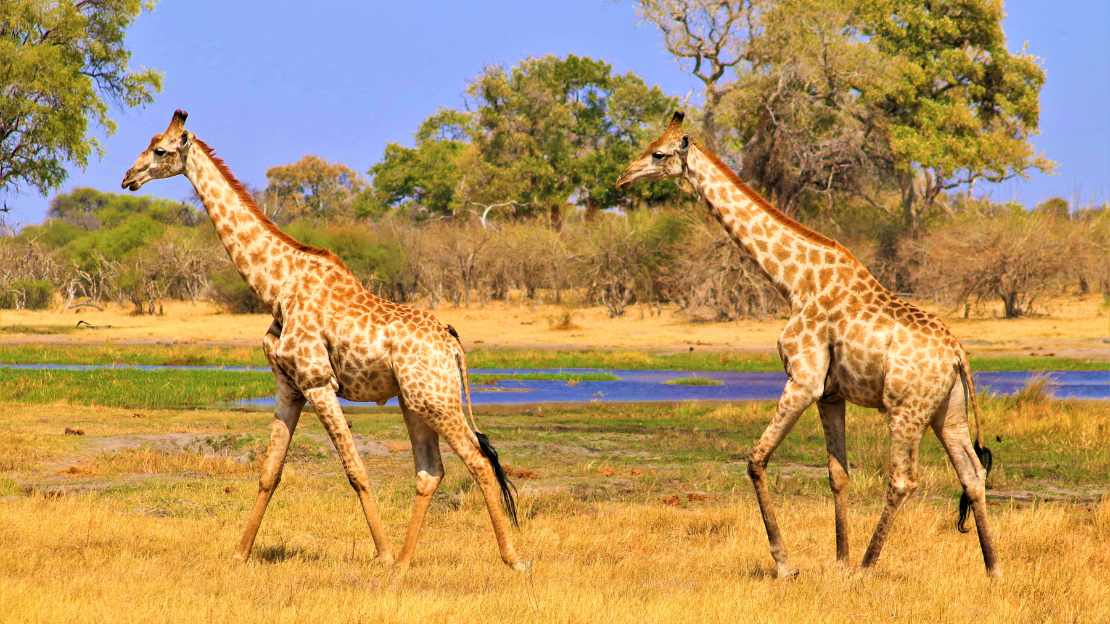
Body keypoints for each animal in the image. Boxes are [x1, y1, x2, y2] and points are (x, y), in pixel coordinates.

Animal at [121, 110, 528, 572]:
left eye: (160, 150)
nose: (128, 177)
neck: (276, 286)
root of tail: (452, 344)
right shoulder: (288, 386)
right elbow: (269, 472)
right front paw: (240, 553)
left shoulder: (318, 383)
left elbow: (356, 471)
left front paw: (382, 553)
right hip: (415, 401)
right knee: (431, 470)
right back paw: (406, 563)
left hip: (437, 400)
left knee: (478, 460)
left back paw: (510, 559)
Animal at [617, 112, 999, 579]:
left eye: (658, 153)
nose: (622, 177)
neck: (794, 282)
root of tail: (958, 355)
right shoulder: (830, 393)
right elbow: (838, 473)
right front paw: (838, 559)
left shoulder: (803, 380)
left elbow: (756, 459)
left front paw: (787, 564)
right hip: (948, 411)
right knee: (972, 473)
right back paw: (993, 568)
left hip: (906, 410)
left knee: (903, 479)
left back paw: (868, 567)